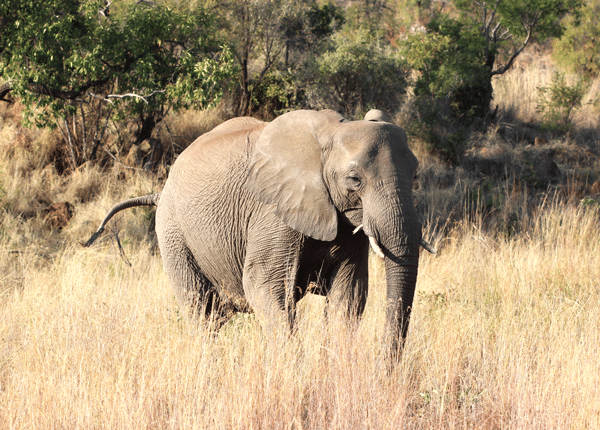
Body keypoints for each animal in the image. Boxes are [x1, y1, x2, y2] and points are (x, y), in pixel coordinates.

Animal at [84, 108, 434, 360]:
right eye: (354, 179)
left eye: (415, 174)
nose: (384, 365)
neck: (328, 138)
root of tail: (159, 191)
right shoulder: (272, 213)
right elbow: (266, 287)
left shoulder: (348, 224)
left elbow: (349, 294)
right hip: (173, 234)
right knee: (200, 310)